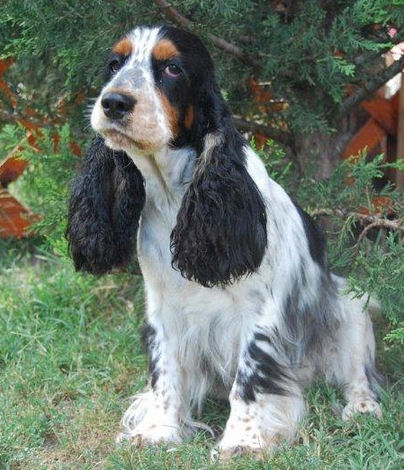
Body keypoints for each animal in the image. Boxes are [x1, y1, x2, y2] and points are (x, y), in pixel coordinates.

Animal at [66, 24, 382, 458]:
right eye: (115, 63)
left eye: (173, 68)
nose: (113, 102)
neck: (176, 196)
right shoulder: (162, 309)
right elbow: (165, 375)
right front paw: (159, 431)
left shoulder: (259, 313)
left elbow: (249, 380)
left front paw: (245, 440)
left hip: (351, 307)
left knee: (358, 377)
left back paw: (362, 409)